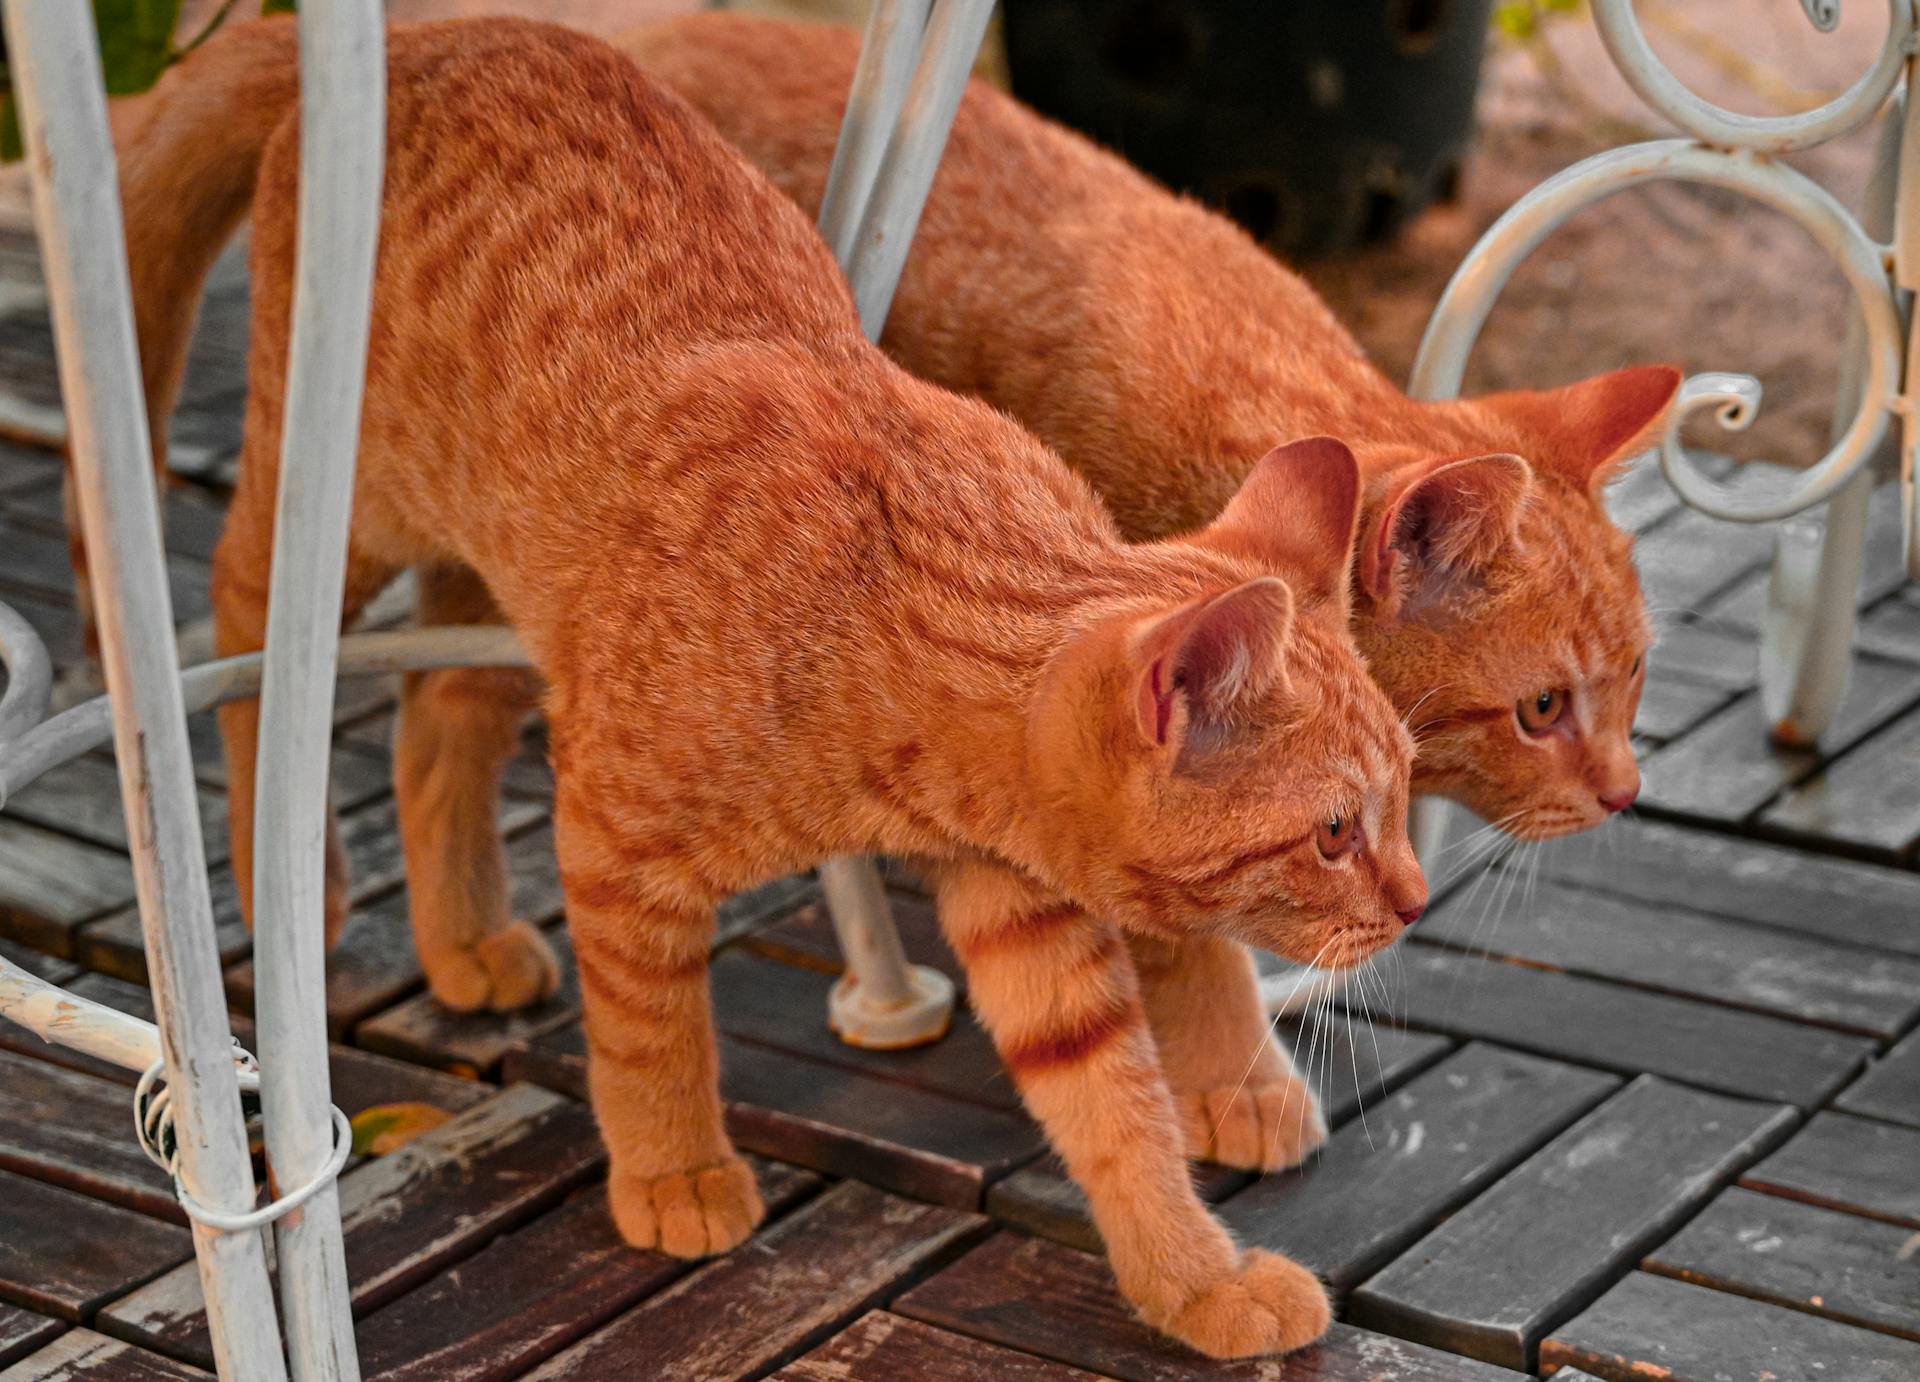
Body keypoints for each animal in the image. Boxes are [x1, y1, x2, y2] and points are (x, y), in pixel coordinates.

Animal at [123, 16, 1428, 1351]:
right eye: (1334, 832)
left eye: (1403, 796)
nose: (1417, 902)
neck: (878, 626)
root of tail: (439, 28)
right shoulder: (614, 839)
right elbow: (650, 1034)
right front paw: (672, 1166)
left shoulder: (1025, 915)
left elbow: (1119, 1112)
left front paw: (1198, 1281)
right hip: (340, 508)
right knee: (239, 631)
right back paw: (281, 869)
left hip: (507, 586)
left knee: (436, 720)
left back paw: (465, 935)